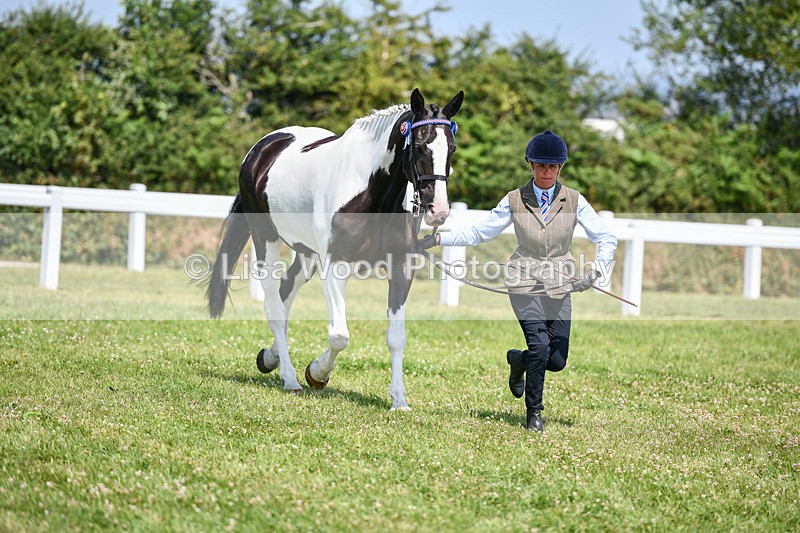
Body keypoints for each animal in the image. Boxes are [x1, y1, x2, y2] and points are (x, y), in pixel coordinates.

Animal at [206, 88, 464, 410]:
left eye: (451, 148)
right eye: (418, 146)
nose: (438, 211)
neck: (370, 192)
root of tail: (261, 149)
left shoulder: (401, 265)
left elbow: (396, 336)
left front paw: (399, 400)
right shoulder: (334, 265)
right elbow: (339, 335)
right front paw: (316, 373)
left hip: (306, 254)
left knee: (286, 294)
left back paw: (270, 356)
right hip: (267, 240)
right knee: (274, 308)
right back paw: (290, 378)